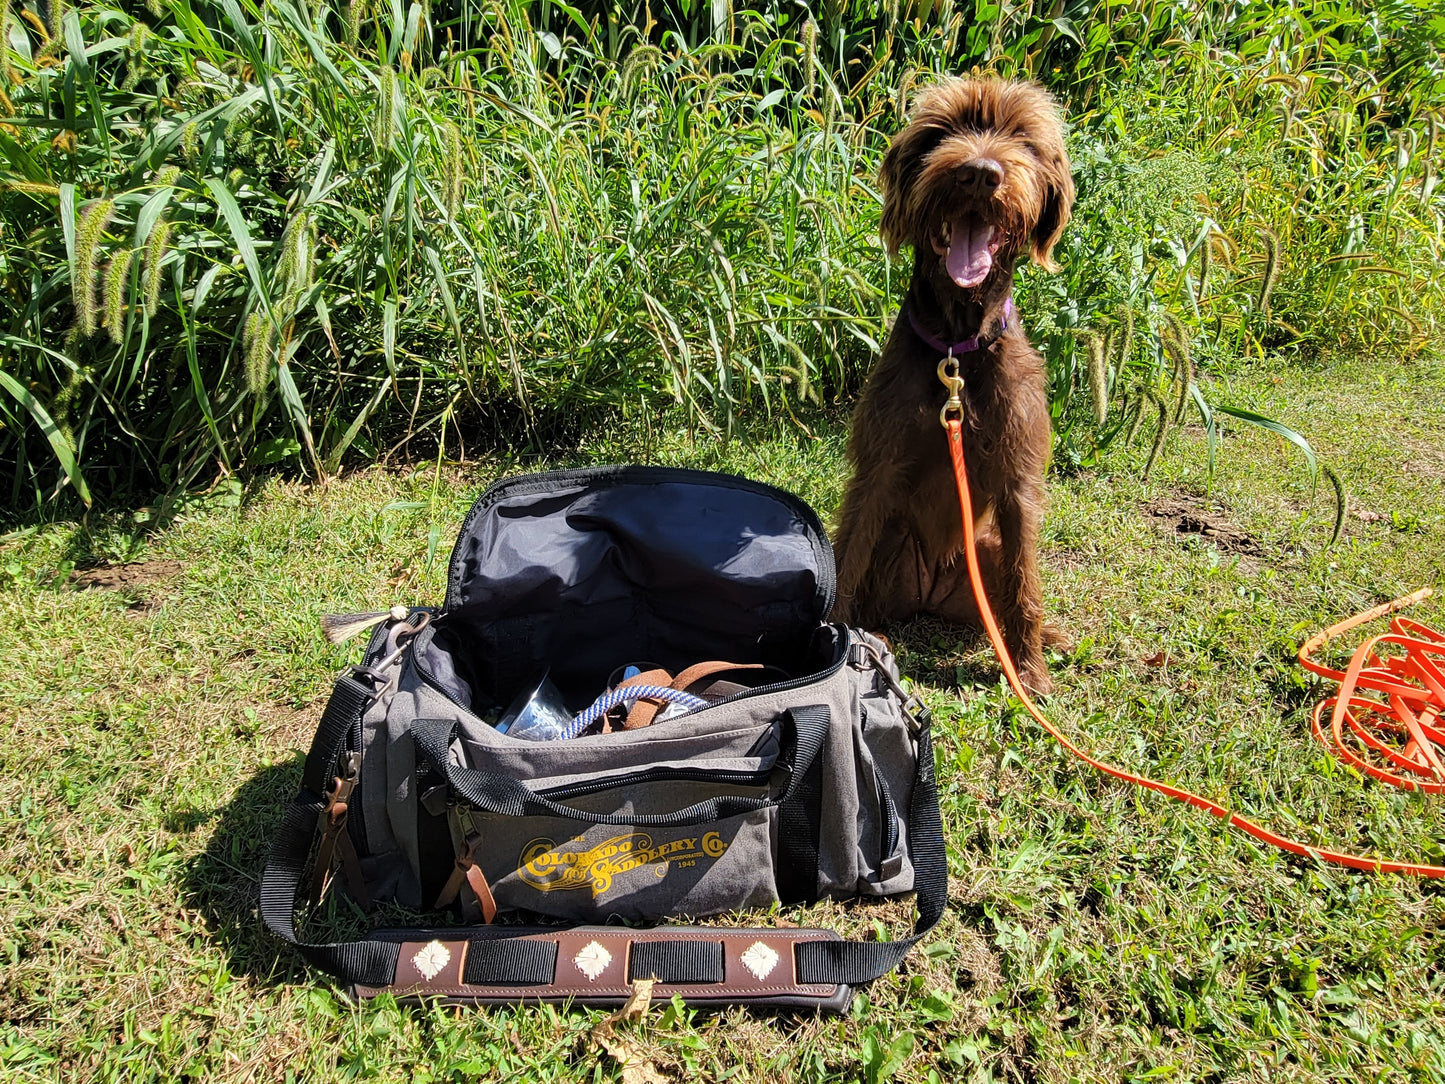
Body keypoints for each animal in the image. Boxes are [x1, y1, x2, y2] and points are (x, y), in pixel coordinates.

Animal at [838, 76, 1075, 690]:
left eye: (1023, 138)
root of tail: (932, 590)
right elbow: (843, 563)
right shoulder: (876, 471)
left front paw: (1030, 674)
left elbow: (1025, 588)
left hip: (986, 550)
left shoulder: (1018, 484)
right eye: (940, 133)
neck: (957, 351)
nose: (980, 173)